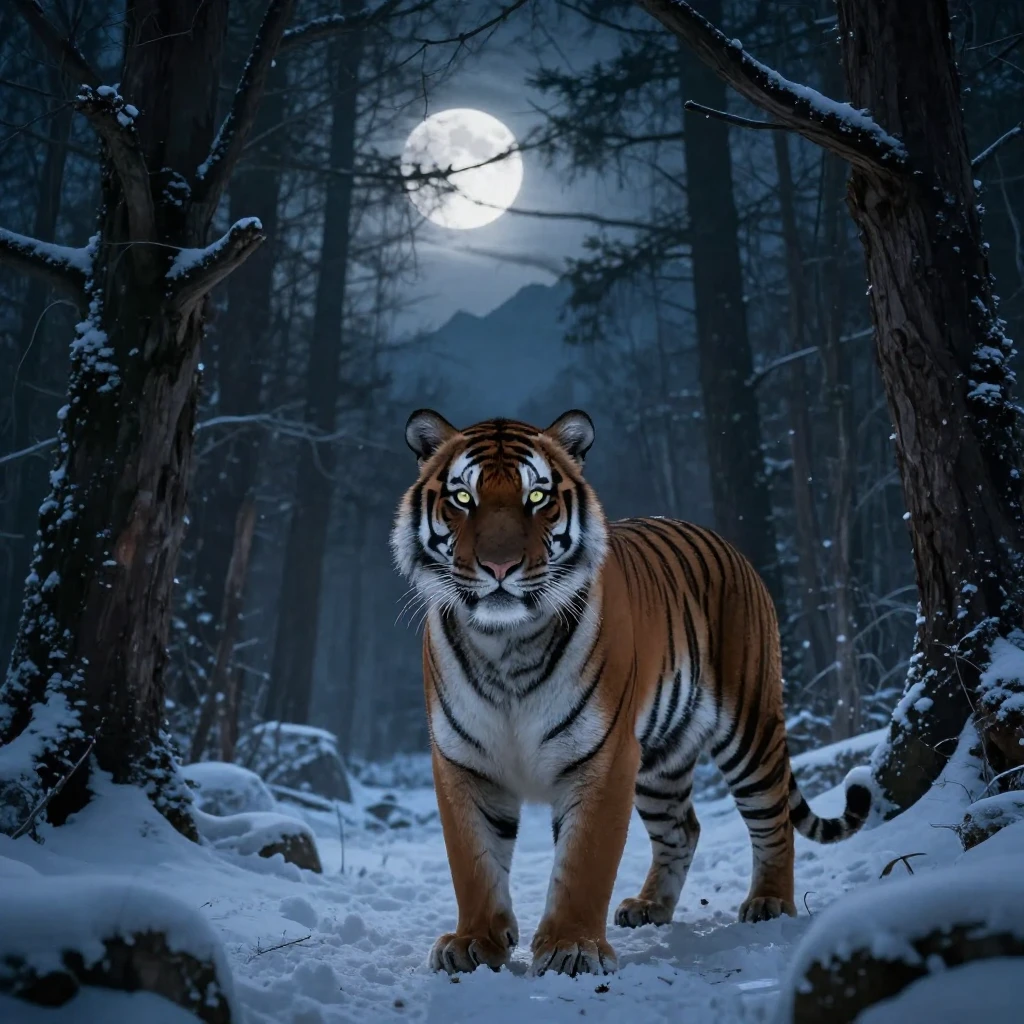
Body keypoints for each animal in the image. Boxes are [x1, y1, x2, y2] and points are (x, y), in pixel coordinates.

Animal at [390, 408, 871, 978]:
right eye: (463, 497)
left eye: (537, 497)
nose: (499, 567)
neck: (506, 643)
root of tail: (729, 545)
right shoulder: (463, 759)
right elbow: (473, 861)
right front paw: (474, 943)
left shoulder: (602, 755)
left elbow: (585, 861)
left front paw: (571, 947)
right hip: (660, 759)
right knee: (683, 828)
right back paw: (649, 907)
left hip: (748, 727)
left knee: (773, 817)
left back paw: (769, 902)